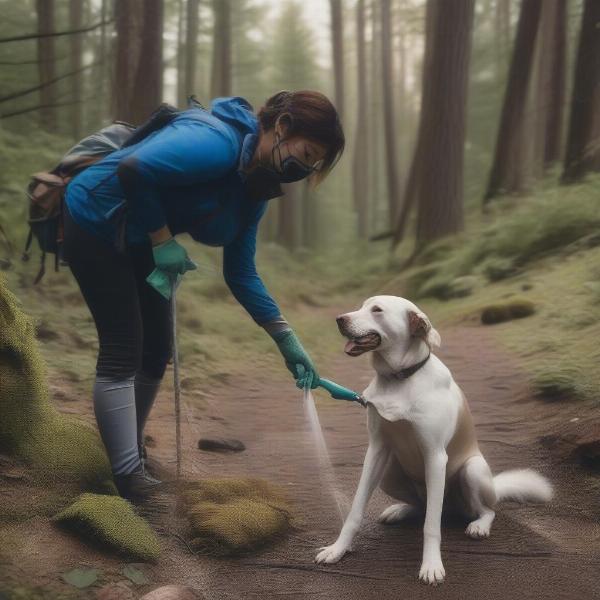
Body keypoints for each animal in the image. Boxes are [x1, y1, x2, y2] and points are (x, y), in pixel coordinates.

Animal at [314, 296, 552, 584]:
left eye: (377, 310)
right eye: (361, 306)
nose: (339, 319)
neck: (399, 378)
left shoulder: (435, 456)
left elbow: (431, 526)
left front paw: (431, 565)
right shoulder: (377, 450)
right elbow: (355, 510)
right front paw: (338, 549)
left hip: (472, 471)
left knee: (484, 510)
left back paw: (479, 525)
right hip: (389, 473)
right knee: (422, 505)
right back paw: (400, 510)